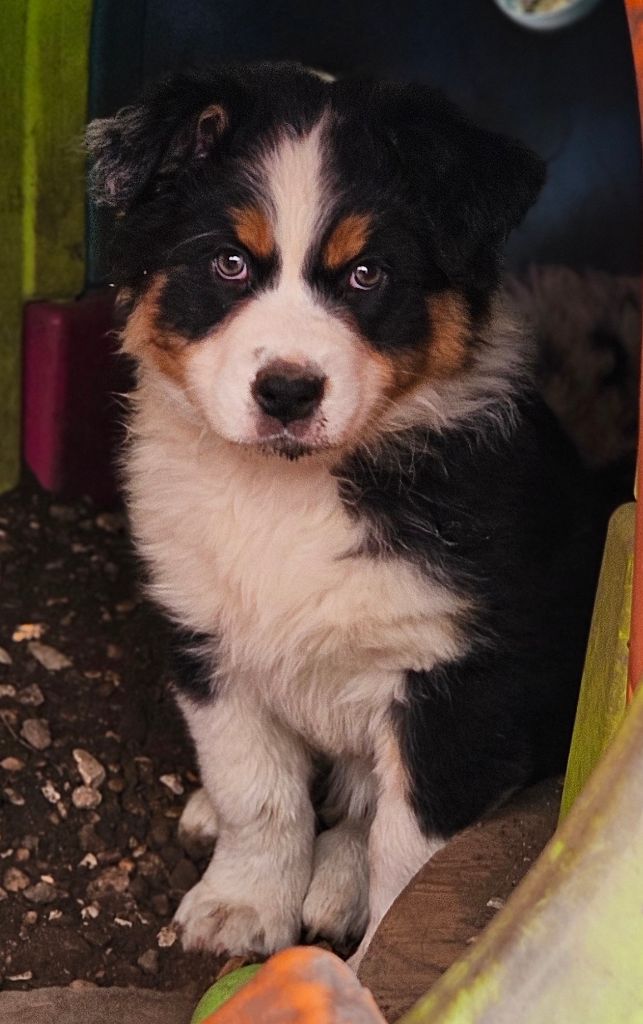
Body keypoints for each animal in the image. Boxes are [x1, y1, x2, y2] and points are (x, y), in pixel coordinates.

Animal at [87, 62, 604, 967]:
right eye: (228, 263)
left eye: (366, 275)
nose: (287, 392)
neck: (286, 492)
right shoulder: (206, 636)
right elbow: (257, 791)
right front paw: (241, 906)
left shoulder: (454, 684)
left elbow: (409, 852)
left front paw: (368, 963)